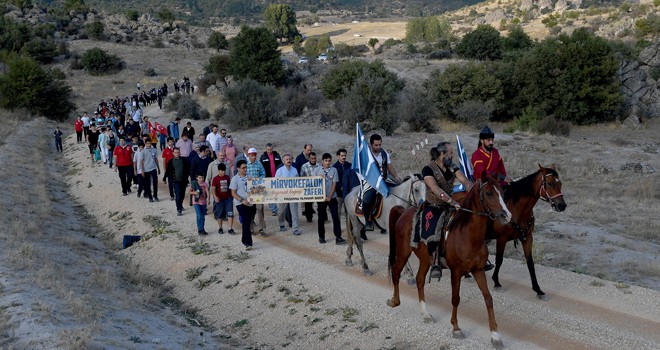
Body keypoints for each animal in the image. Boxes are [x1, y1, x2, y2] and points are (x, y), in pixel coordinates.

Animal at [386, 174, 510, 348]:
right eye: (488, 193)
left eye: (502, 192)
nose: (506, 216)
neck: (467, 235)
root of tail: (404, 211)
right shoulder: (456, 272)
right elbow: (455, 299)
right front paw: (456, 328)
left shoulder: (478, 270)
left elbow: (488, 299)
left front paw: (495, 335)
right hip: (403, 252)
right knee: (397, 271)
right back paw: (395, 301)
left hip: (425, 259)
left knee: (419, 280)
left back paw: (426, 314)